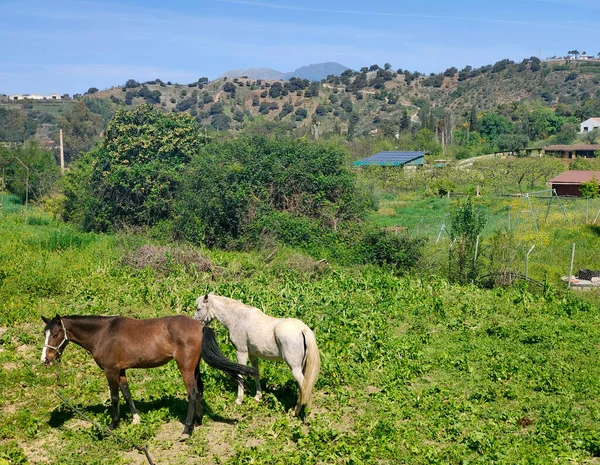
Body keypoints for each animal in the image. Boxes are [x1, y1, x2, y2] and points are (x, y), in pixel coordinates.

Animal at [41, 314, 256, 436]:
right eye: (45, 333)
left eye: (56, 334)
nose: (46, 359)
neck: (103, 334)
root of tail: (200, 326)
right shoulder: (121, 371)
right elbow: (127, 394)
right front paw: (136, 420)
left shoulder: (111, 371)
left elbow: (114, 398)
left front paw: (112, 425)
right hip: (194, 367)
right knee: (200, 390)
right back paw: (198, 421)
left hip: (185, 367)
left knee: (193, 394)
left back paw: (187, 430)